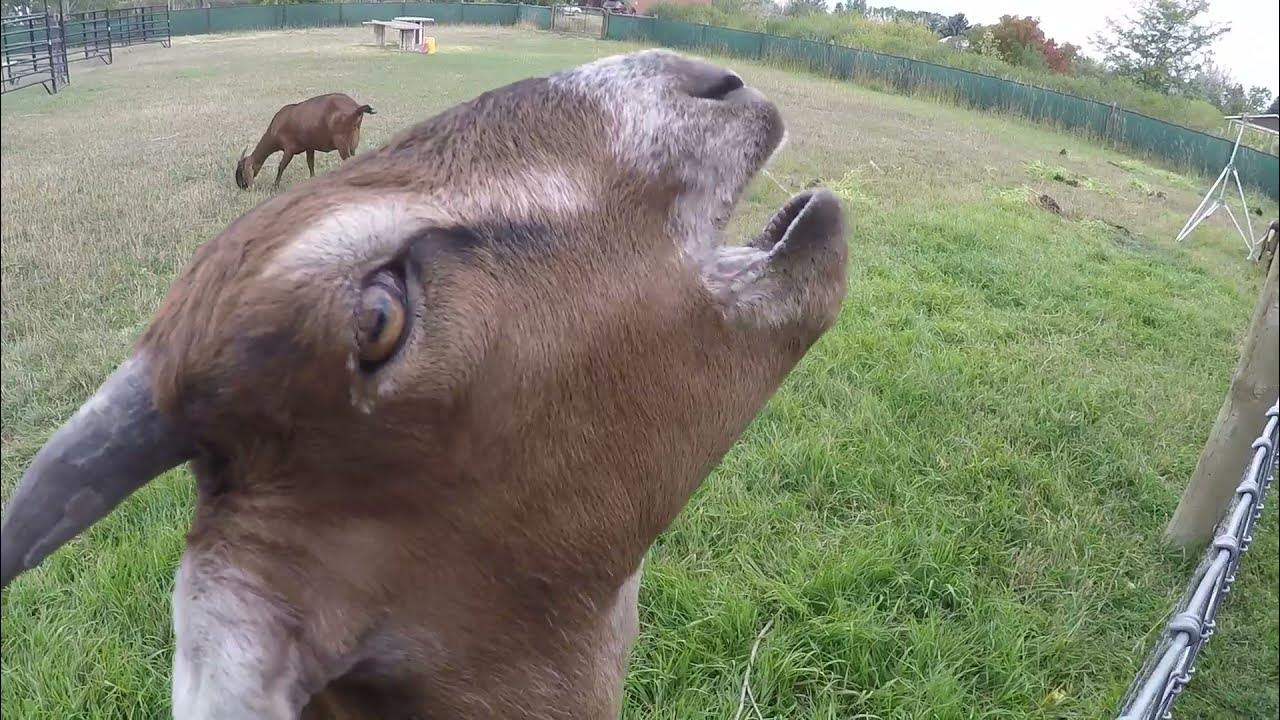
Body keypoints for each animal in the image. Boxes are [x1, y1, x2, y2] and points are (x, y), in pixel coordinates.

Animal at [235, 92, 375, 189]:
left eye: (241, 170)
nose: (242, 186)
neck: (275, 128)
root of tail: (356, 108)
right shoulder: (309, 147)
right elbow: (310, 164)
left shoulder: (289, 149)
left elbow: (281, 166)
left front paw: (275, 186)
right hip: (353, 139)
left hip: (341, 141)